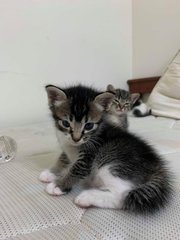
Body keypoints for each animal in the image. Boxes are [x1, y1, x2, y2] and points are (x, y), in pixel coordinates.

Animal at [39, 84, 172, 214]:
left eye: (89, 125)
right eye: (66, 123)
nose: (76, 139)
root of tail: (155, 165)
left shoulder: (90, 153)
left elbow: (77, 169)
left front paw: (58, 185)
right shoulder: (67, 147)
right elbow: (63, 158)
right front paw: (52, 172)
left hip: (110, 159)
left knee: (122, 195)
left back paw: (86, 197)